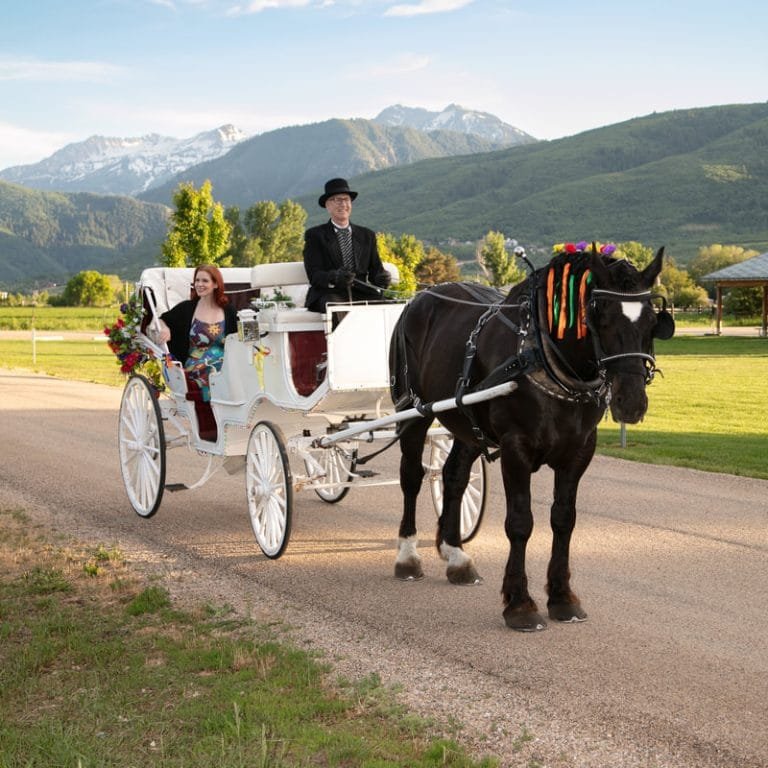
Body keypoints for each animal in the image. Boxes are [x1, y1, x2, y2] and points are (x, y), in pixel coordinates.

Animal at [388, 244, 675, 631]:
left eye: (650, 322)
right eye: (600, 317)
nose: (631, 402)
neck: (543, 355)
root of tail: (421, 297)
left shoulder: (579, 451)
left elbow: (564, 520)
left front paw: (562, 597)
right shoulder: (516, 449)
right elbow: (521, 523)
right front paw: (520, 604)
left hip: (467, 422)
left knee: (454, 476)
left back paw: (456, 554)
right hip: (413, 410)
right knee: (411, 477)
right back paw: (407, 555)